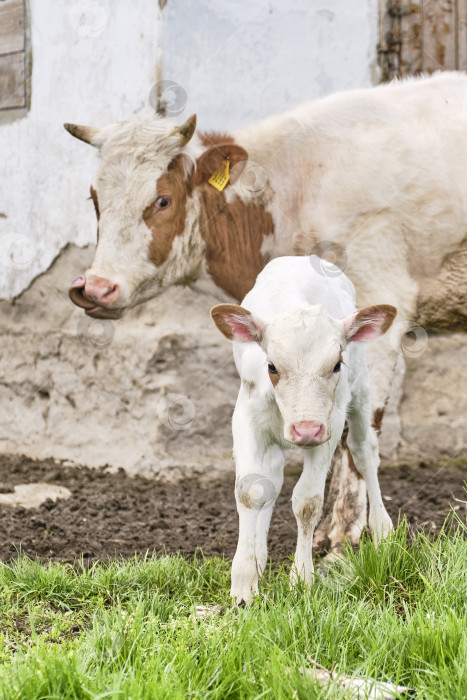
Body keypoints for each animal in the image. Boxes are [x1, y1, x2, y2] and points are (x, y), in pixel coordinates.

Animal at [65, 72, 467, 552]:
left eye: (162, 200)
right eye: (94, 200)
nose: (94, 288)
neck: (293, 191)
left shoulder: (382, 308)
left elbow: (358, 435)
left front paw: (344, 533)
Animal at [212, 254, 398, 604]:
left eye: (336, 364)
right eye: (271, 366)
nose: (306, 430)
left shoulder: (330, 423)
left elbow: (308, 501)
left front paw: (301, 580)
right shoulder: (245, 416)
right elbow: (250, 491)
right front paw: (244, 582)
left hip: (362, 391)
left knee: (365, 454)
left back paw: (383, 531)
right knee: (271, 479)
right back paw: (259, 557)